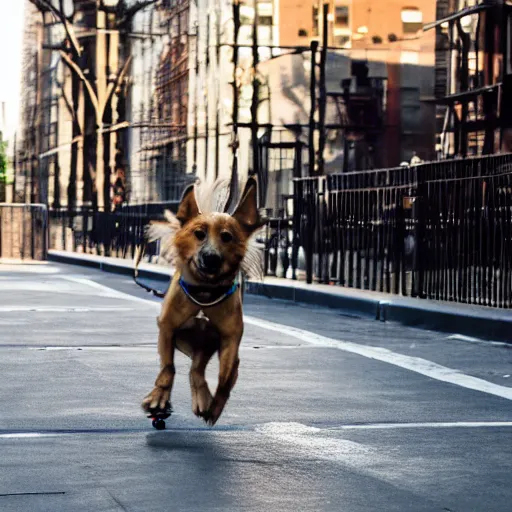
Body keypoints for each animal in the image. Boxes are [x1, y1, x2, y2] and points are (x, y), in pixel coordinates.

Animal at [142, 178, 266, 426]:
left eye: (227, 236)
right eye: (198, 233)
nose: (211, 257)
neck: (204, 294)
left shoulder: (229, 339)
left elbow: (225, 377)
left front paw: (215, 407)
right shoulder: (167, 329)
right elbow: (168, 367)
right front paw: (158, 400)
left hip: (207, 346)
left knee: (198, 372)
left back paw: (205, 400)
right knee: (192, 370)